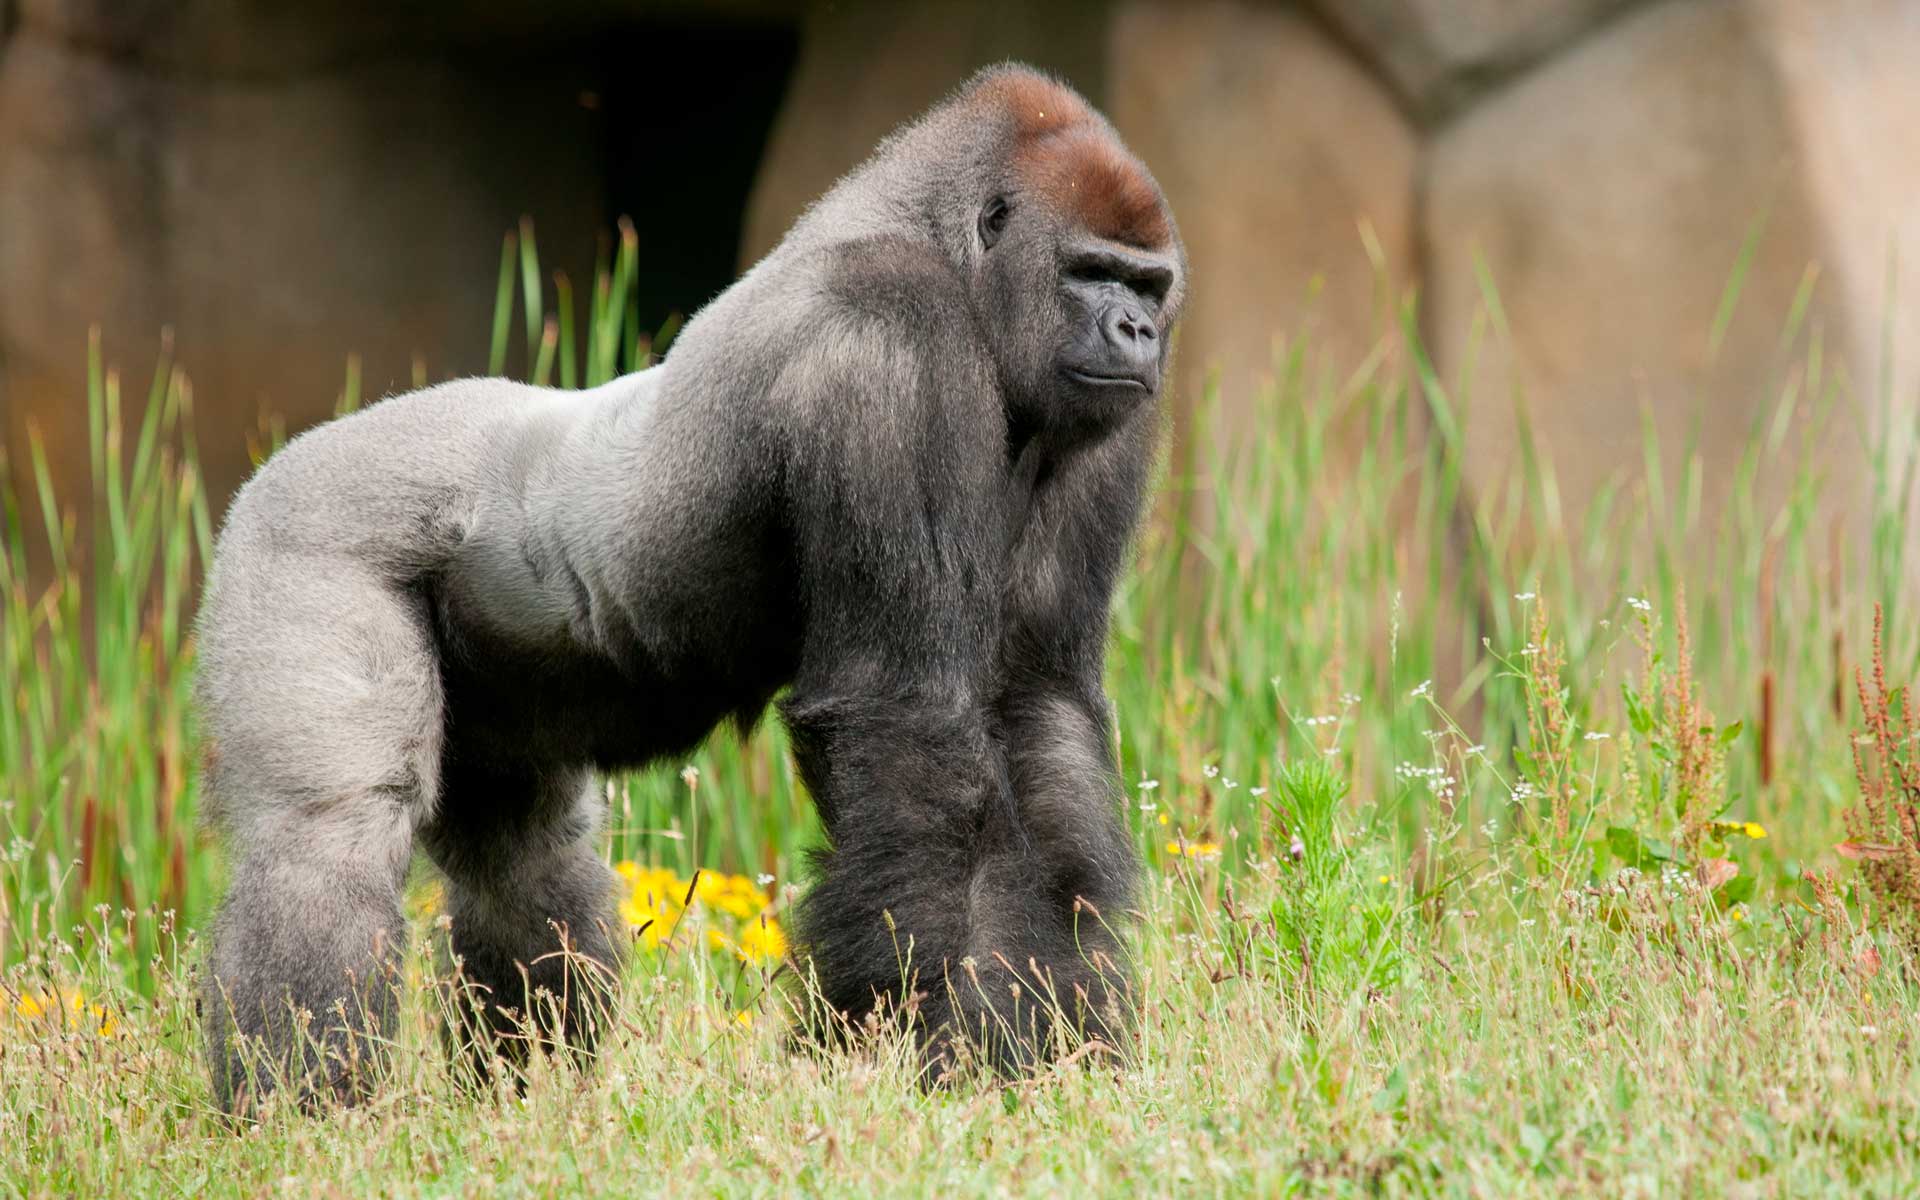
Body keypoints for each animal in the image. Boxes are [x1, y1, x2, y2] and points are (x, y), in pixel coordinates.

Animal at [194, 63, 1185, 1112]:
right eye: (1090, 272)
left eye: (1150, 285)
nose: (1138, 330)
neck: (943, 247)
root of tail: (275, 468)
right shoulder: (890, 332)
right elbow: (906, 715)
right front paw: (930, 1049)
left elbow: (1038, 713)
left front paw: (1058, 1040)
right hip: (303, 533)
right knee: (327, 835)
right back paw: (302, 1110)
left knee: (528, 865)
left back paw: (527, 1091)